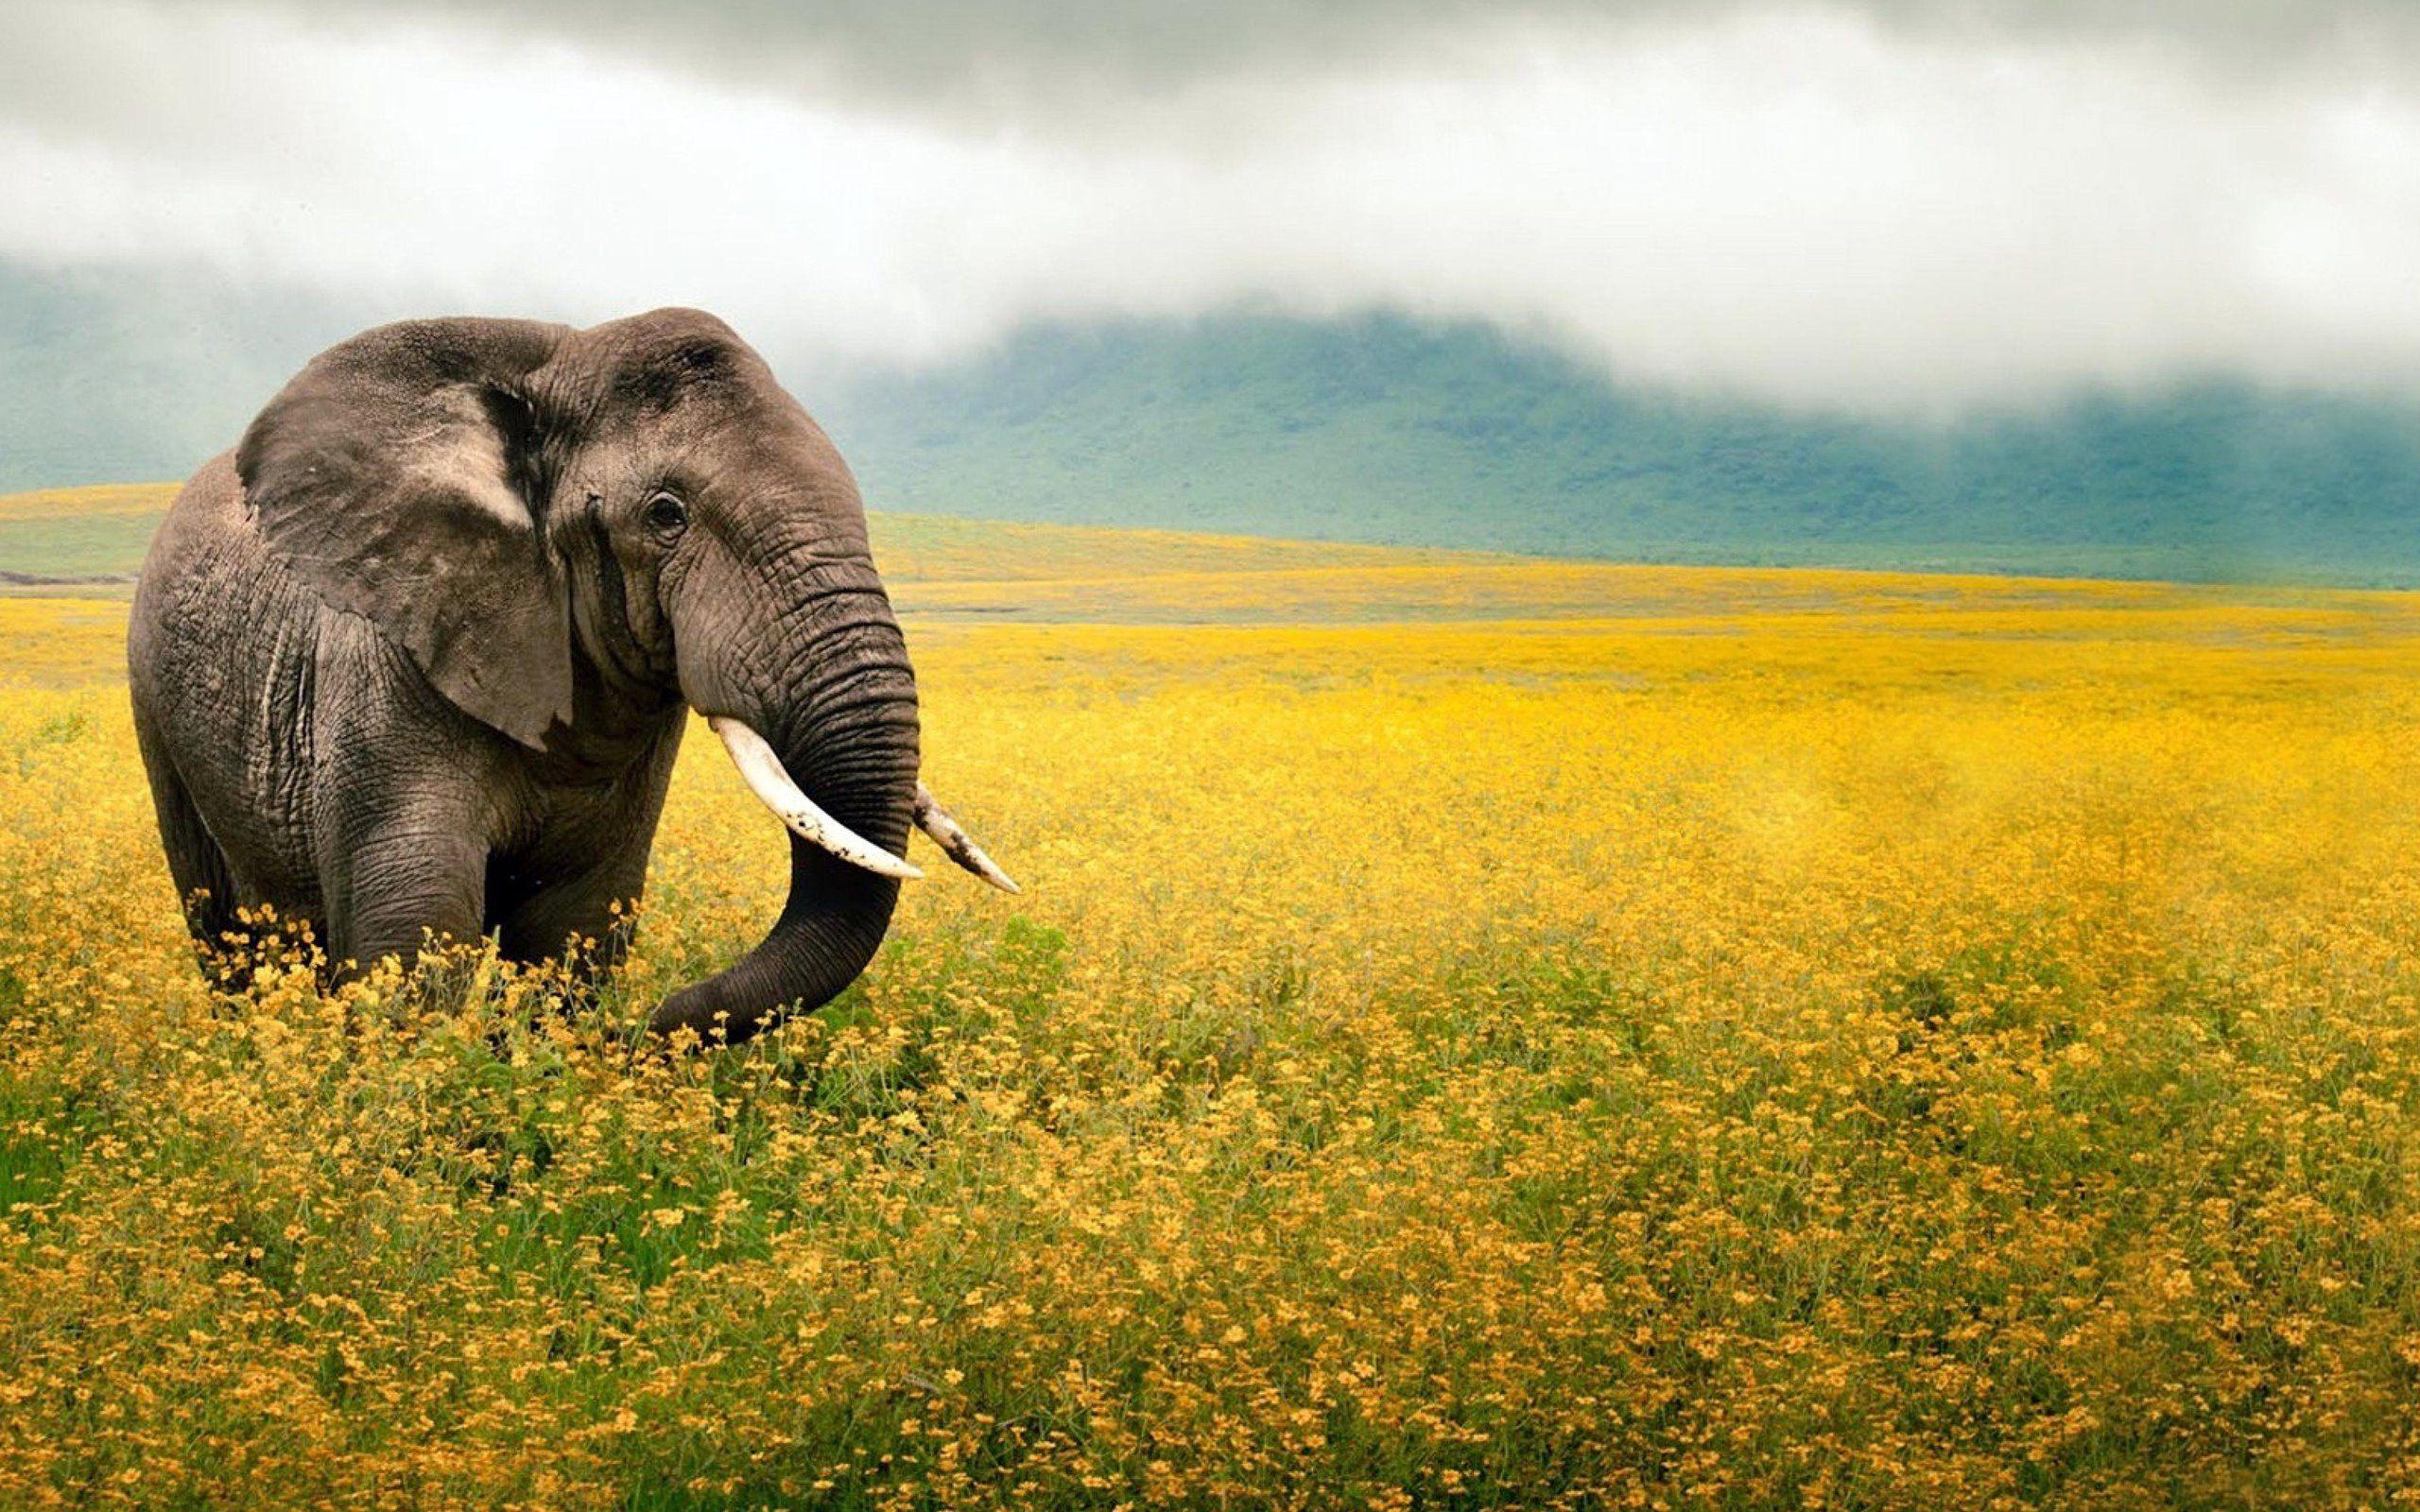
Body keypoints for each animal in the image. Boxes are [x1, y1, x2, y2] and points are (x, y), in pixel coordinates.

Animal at [127, 307, 1016, 1044]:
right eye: (666, 515)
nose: (649, 1027)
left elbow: (574, 925)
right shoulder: (384, 661)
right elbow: (415, 928)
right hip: (156, 708)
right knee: (226, 933)